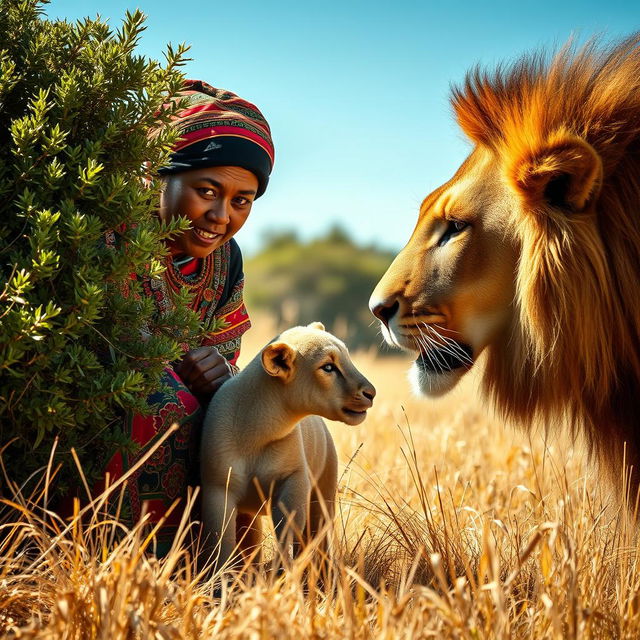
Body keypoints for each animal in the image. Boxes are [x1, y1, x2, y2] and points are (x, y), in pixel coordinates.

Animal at [201, 322, 376, 572]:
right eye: (328, 367)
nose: (371, 393)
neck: (257, 433)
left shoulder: (294, 479)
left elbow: (287, 532)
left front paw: (281, 572)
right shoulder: (218, 487)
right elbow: (221, 540)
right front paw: (219, 578)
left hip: (322, 495)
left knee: (318, 541)